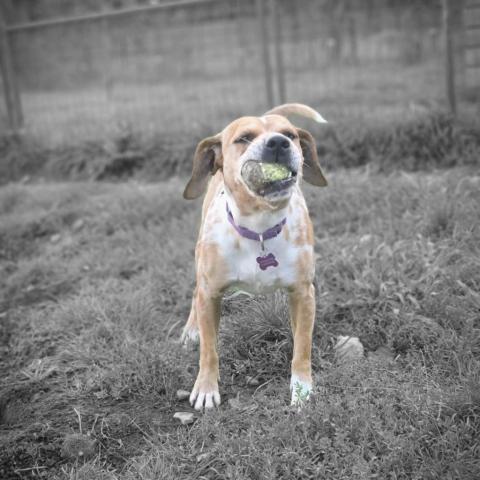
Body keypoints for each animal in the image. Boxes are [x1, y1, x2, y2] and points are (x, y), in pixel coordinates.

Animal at [182, 103, 328, 410]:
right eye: (244, 138)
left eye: (290, 134)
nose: (278, 142)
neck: (260, 230)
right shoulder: (210, 294)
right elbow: (209, 350)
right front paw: (206, 387)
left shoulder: (304, 294)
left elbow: (302, 348)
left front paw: (302, 390)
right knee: (195, 292)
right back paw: (191, 330)